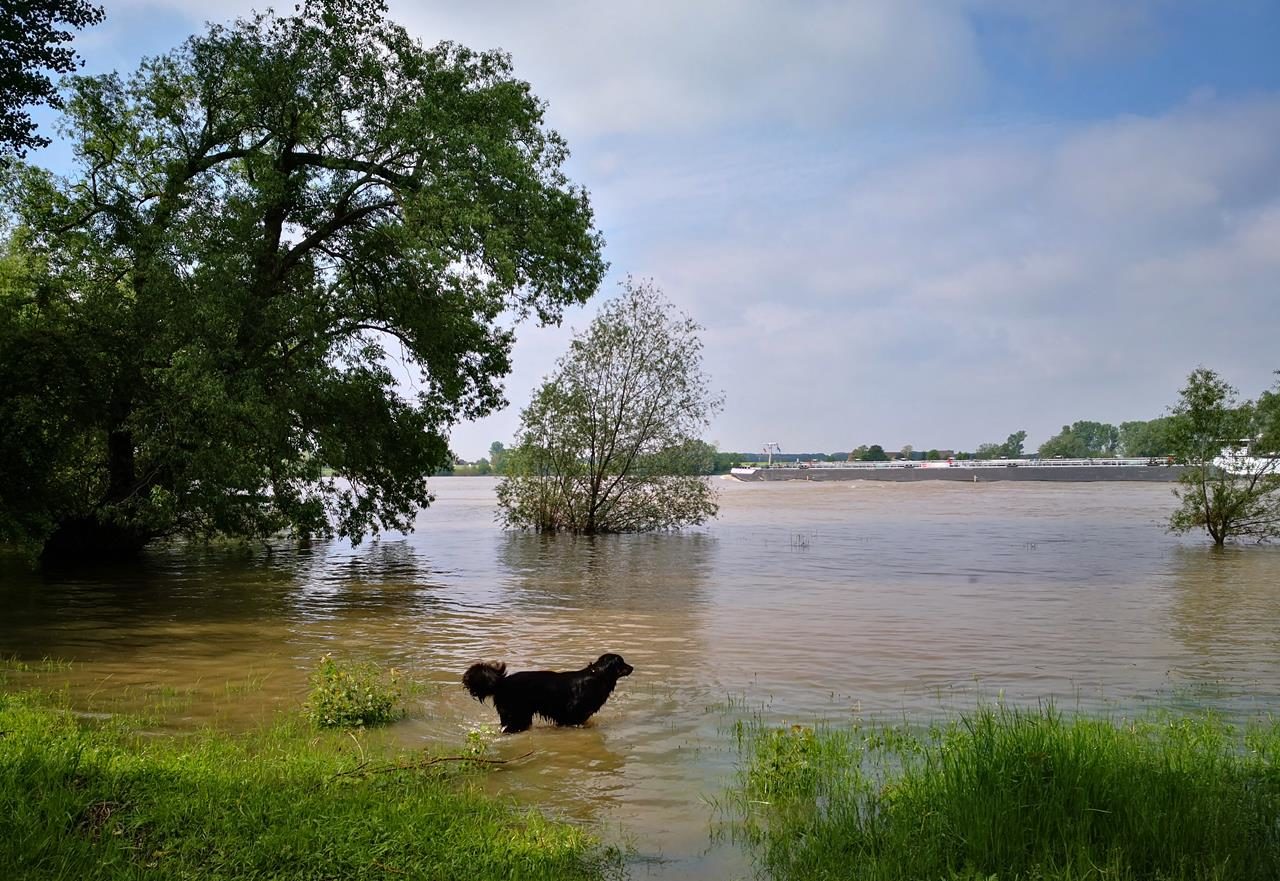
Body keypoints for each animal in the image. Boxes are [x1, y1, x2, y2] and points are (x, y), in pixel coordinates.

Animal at [465, 650, 634, 732]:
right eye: (621, 662)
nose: (632, 667)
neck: (597, 676)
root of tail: (501, 682)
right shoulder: (572, 715)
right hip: (517, 716)